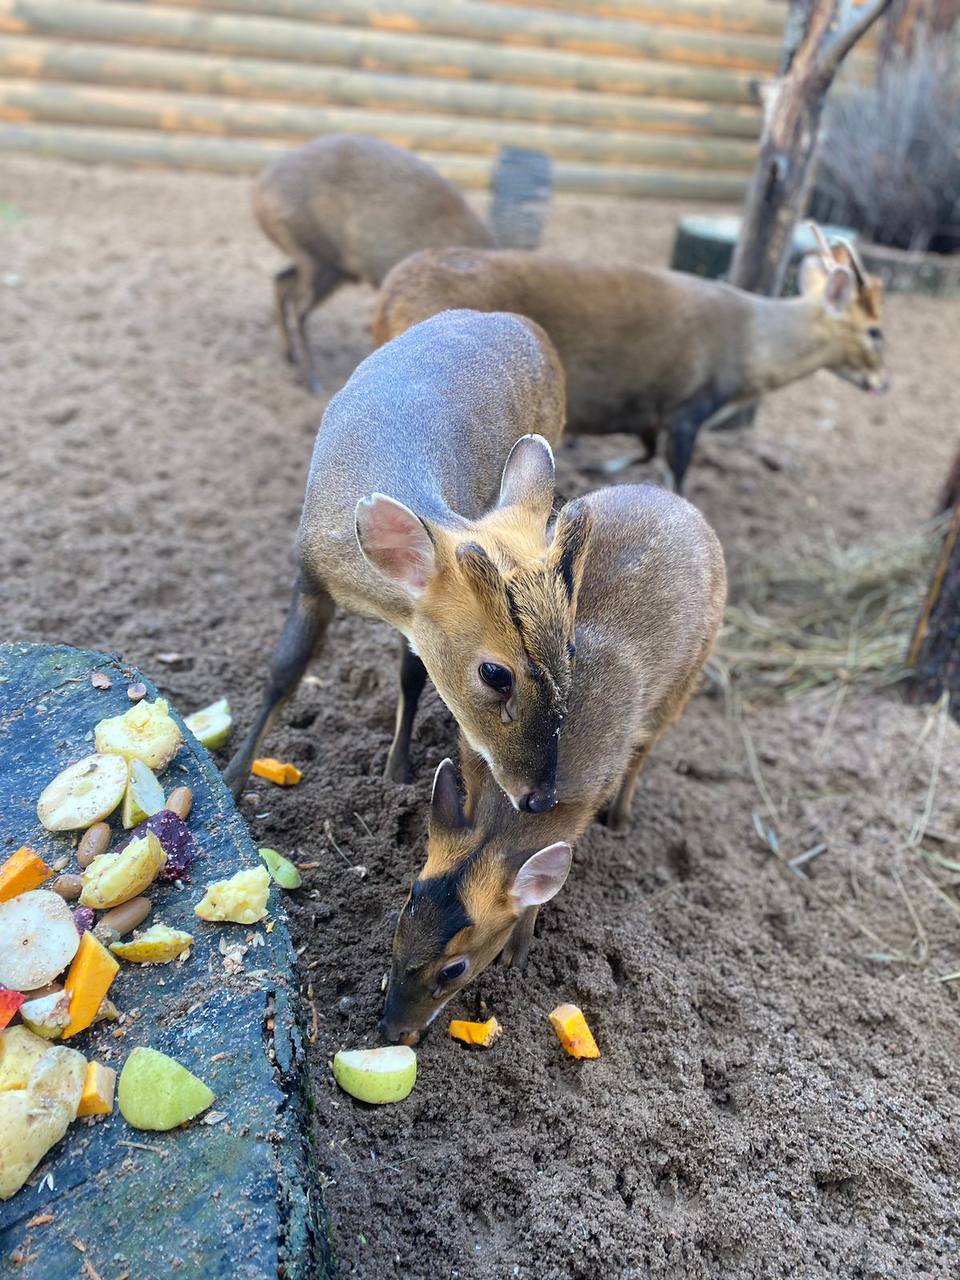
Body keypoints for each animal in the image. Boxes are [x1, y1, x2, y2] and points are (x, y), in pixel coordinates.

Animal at [224, 305, 593, 814]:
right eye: (495, 673)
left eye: (570, 649)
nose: (540, 798)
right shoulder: (308, 575)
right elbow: (283, 671)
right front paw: (231, 780)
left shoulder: (414, 616)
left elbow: (411, 675)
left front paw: (394, 773)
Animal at [253, 131, 496, 389]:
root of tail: (259, 190)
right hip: (317, 260)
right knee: (298, 306)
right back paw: (310, 379)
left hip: (325, 264)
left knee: (281, 282)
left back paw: (290, 356)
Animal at [373, 227, 885, 491]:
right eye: (876, 331)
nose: (883, 383)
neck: (751, 345)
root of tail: (391, 295)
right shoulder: (687, 408)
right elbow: (676, 475)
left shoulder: (650, 410)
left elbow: (645, 451)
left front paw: (599, 470)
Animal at [378, 483, 727, 1044]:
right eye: (399, 925)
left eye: (454, 969)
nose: (392, 1030)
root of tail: (677, 500)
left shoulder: (580, 803)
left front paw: (519, 955)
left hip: (687, 679)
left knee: (645, 751)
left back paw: (622, 820)